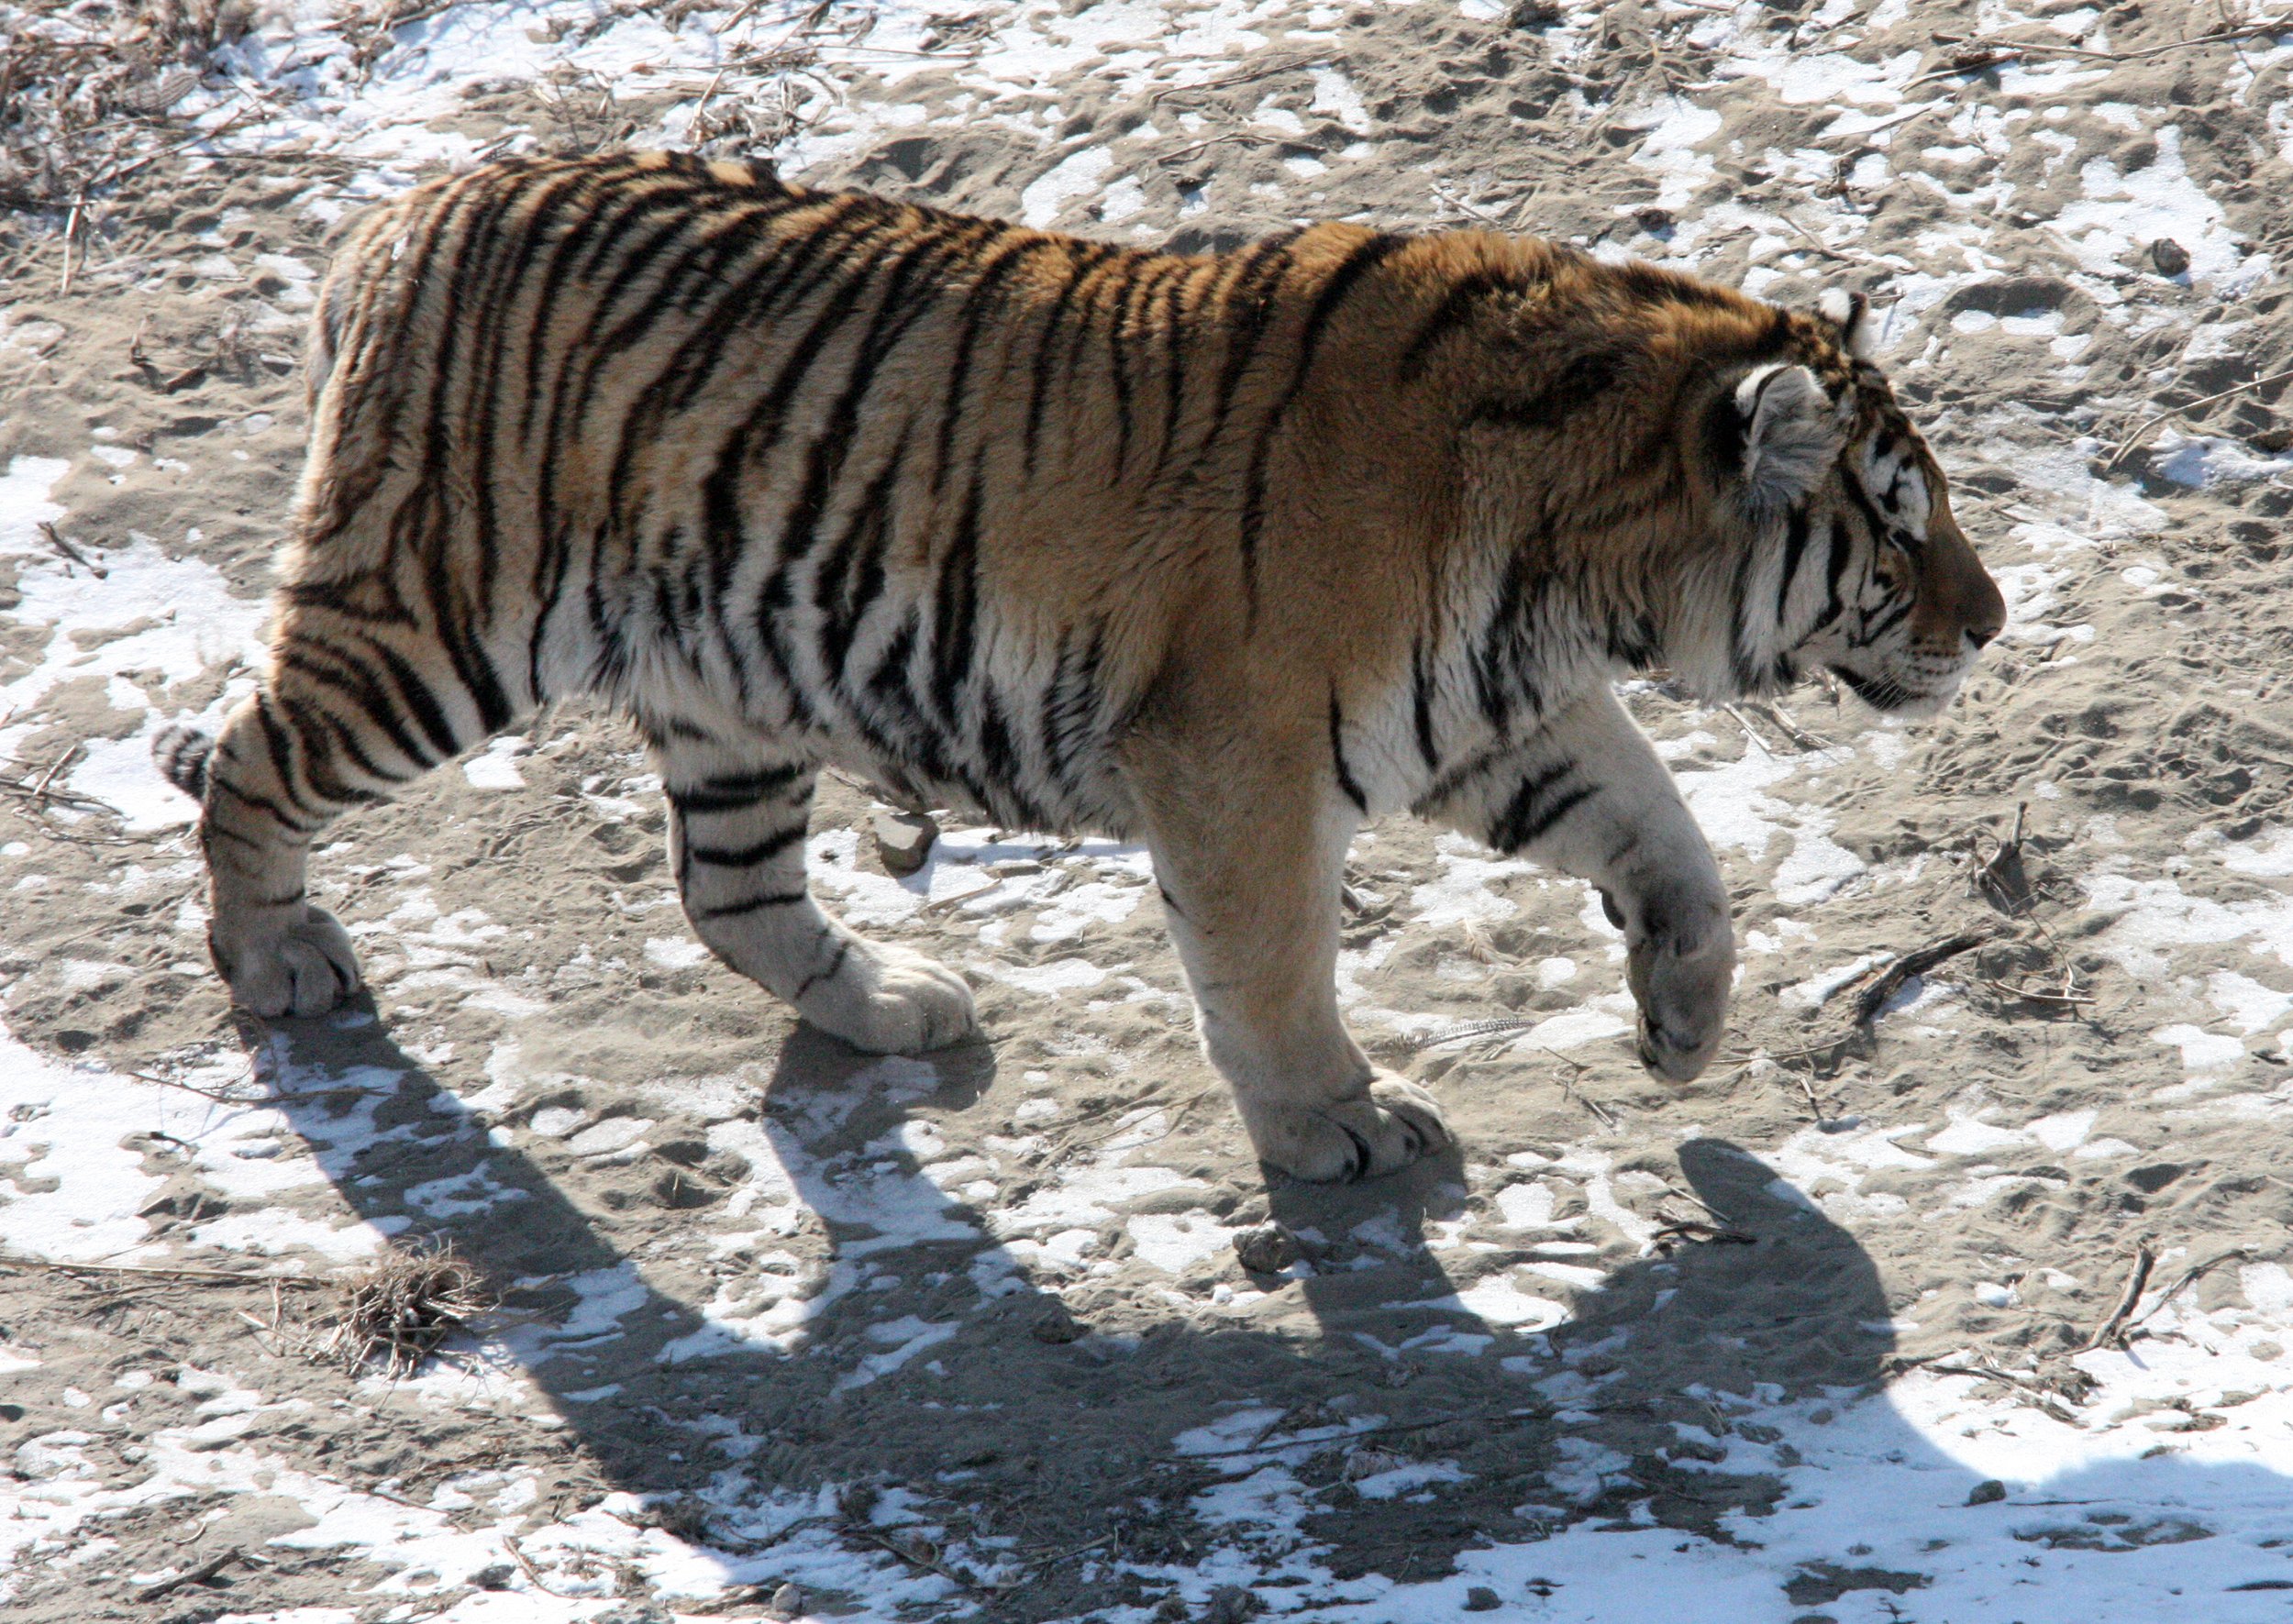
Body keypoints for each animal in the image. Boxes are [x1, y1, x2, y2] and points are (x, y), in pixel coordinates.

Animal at [152, 150, 2005, 1183]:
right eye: (1898, 520)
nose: (1989, 622)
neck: (1573, 560)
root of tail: (399, 214)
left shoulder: (1494, 713)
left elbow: (1672, 838)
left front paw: (1682, 1021)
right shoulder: (1240, 757)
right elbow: (1271, 968)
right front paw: (1335, 1128)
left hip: (729, 688)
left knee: (729, 891)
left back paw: (898, 1004)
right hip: (437, 622)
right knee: (251, 759)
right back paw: (279, 959)